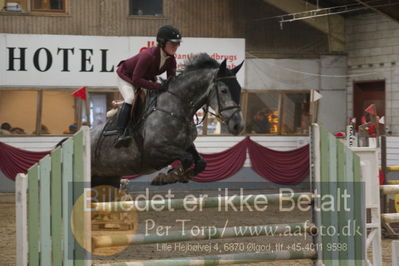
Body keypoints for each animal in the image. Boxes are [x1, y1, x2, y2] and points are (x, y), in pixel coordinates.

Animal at [91, 54, 245, 187]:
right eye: (224, 90)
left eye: (239, 89)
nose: (239, 125)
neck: (177, 109)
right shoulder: (154, 151)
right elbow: (187, 158)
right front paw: (169, 176)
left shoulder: (185, 144)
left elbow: (200, 162)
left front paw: (181, 175)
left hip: (107, 177)